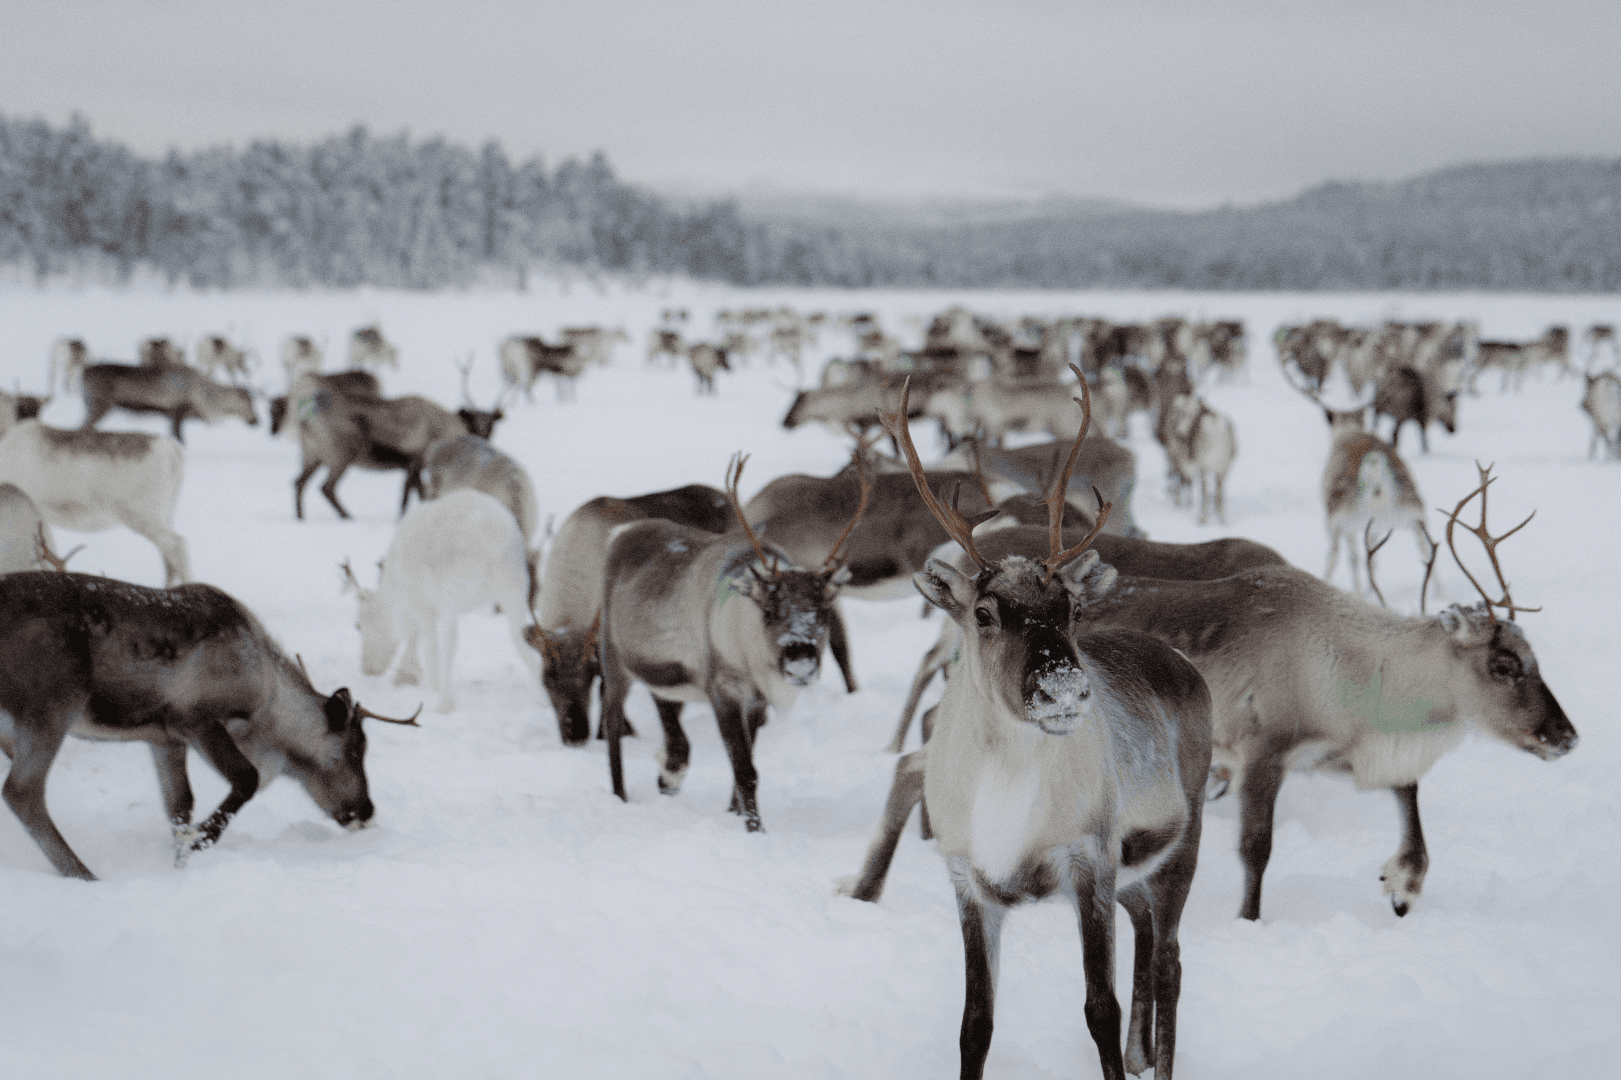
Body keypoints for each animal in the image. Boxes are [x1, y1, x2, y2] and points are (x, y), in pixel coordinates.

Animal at [0, 570, 418, 880]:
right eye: (355, 749)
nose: (367, 810)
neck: (268, 699)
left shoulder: (164, 739)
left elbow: (180, 806)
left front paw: (181, 862)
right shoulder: (195, 720)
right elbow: (246, 778)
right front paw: (202, 838)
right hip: (52, 705)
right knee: (22, 792)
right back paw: (84, 875)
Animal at [595, 455, 871, 832]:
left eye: (825, 610)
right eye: (769, 610)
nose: (800, 662)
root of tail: (620, 533)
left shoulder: (755, 700)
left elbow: (747, 762)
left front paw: (733, 814)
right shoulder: (722, 689)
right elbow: (744, 769)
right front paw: (756, 830)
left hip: (661, 673)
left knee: (666, 713)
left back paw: (667, 777)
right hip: (613, 660)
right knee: (611, 726)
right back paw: (619, 796)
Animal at [847, 371, 1212, 1080]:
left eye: (1070, 607)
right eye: (985, 613)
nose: (1064, 688)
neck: (1006, 795)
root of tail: (1183, 666)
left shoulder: (1089, 861)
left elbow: (1098, 1007)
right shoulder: (969, 879)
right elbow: (974, 1022)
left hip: (1184, 841)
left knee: (1172, 960)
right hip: (1133, 875)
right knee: (1146, 933)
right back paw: (1141, 1052)